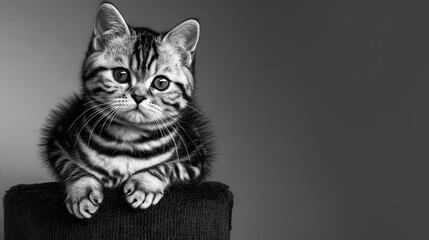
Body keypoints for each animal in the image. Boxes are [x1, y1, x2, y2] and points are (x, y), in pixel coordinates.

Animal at [39, 2, 212, 219]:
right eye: (120, 75)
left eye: (161, 83)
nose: (138, 96)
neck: (128, 138)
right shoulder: (57, 141)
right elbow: (71, 166)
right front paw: (82, 190)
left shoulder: (196, 158)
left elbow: (170, 166)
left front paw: (144, 184)